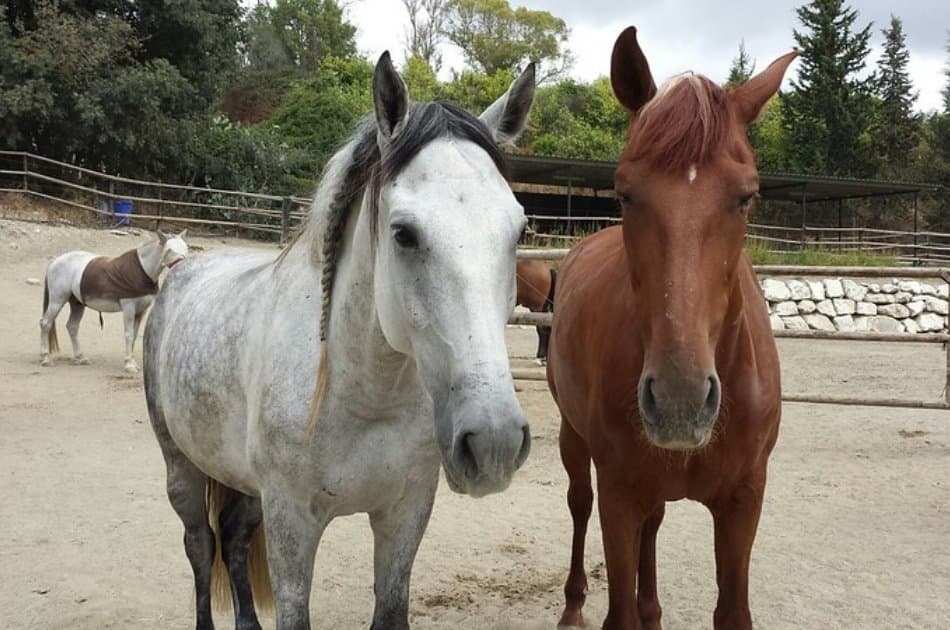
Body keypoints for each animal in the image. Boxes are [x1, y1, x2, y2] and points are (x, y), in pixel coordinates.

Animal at [40, 231, 188, 373]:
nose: (181, 267)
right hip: (57, 300)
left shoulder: (141, 311)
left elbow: (134, 336)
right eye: (169, 250)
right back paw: (46, 359)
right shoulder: (129, 308)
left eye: (186, 249)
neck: (142, 270)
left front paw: (132, 362)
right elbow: (128, 335)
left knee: (72, 327)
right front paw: (129, 365)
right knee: (45, 323)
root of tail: (55, 262)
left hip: (77, 304)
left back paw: (80, 358)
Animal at [143, 52, 535, 630]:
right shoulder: (292, 524)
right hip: (182, 468)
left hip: (244, 483)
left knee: (232, 539)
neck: (361, 395)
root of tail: (183, 270)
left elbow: (390, 607)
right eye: (403, 234)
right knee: (200, 545)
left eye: (519, 231)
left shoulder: (404, 514)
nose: (494, 442)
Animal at [546, 28, 796, 630]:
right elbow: (618, 608)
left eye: (747, 195)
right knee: (578, 504)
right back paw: (573, 605)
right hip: (574, 442)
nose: (681, 399)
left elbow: (732, 611)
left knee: (655, 524)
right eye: (624, 192)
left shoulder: (744, 501)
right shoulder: (619, 496)